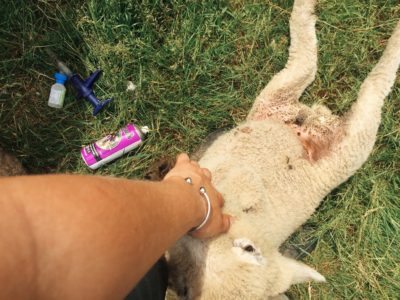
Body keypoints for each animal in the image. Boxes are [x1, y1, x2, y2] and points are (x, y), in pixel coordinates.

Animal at [165, 1, 400, 298]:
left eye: (250, 248)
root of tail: (311, 128)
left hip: (347, 146)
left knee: (370, 87)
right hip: (280, 100)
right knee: (306, 63)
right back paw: (307, 10)